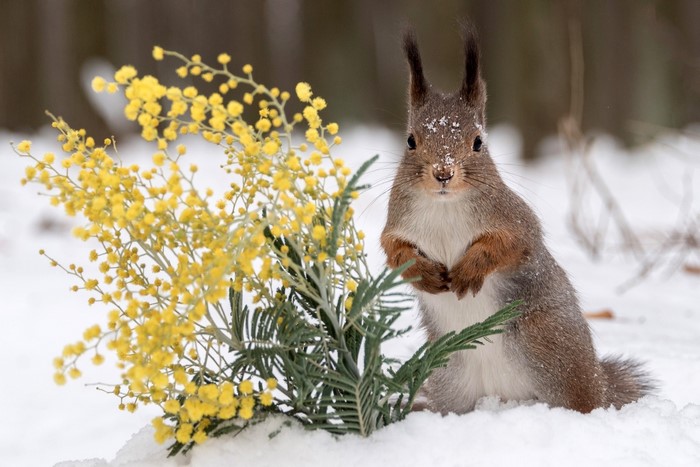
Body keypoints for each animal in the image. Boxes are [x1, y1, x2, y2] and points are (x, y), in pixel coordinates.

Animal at [380, 24, 653, 414]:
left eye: (479, 142)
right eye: (410, 141)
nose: (443, 173)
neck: (445, 205)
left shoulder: (516, 220)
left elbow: (510, 245)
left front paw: (471, 268)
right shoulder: (396, 224)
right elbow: (395, 252)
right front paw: (424, 272)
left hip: (549, 348)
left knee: (583, 400)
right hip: (449, 375)